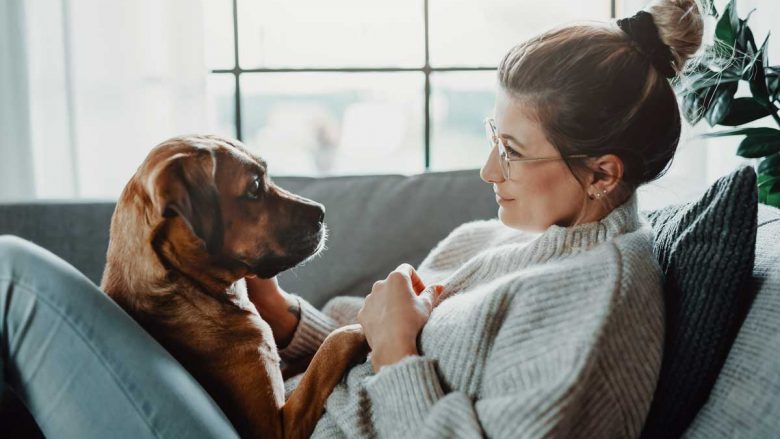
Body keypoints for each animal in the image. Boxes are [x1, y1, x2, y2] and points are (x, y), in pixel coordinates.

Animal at [101, 135, 368, 439]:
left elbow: (310, 358)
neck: (189, 289)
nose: (322, 212)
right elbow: (331, 347)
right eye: (254, 187)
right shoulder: (274, 428)